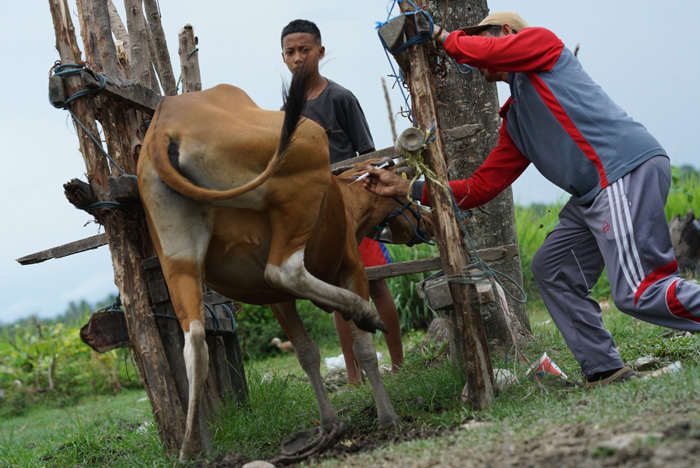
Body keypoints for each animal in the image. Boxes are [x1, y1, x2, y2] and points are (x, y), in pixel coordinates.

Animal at [136, 70, 430, 460]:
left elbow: (307, 353)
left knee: (195, 341)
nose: (428, 221)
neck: (345, 201)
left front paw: (330, 423)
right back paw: (363, 312)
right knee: (284, 270)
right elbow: (363, 348)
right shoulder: (351, 269)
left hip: (178, 260)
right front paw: (387, 416)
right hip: (306, 151)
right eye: (406, 193)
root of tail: (163, 125)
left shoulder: (277, 300)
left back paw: (194, 447)